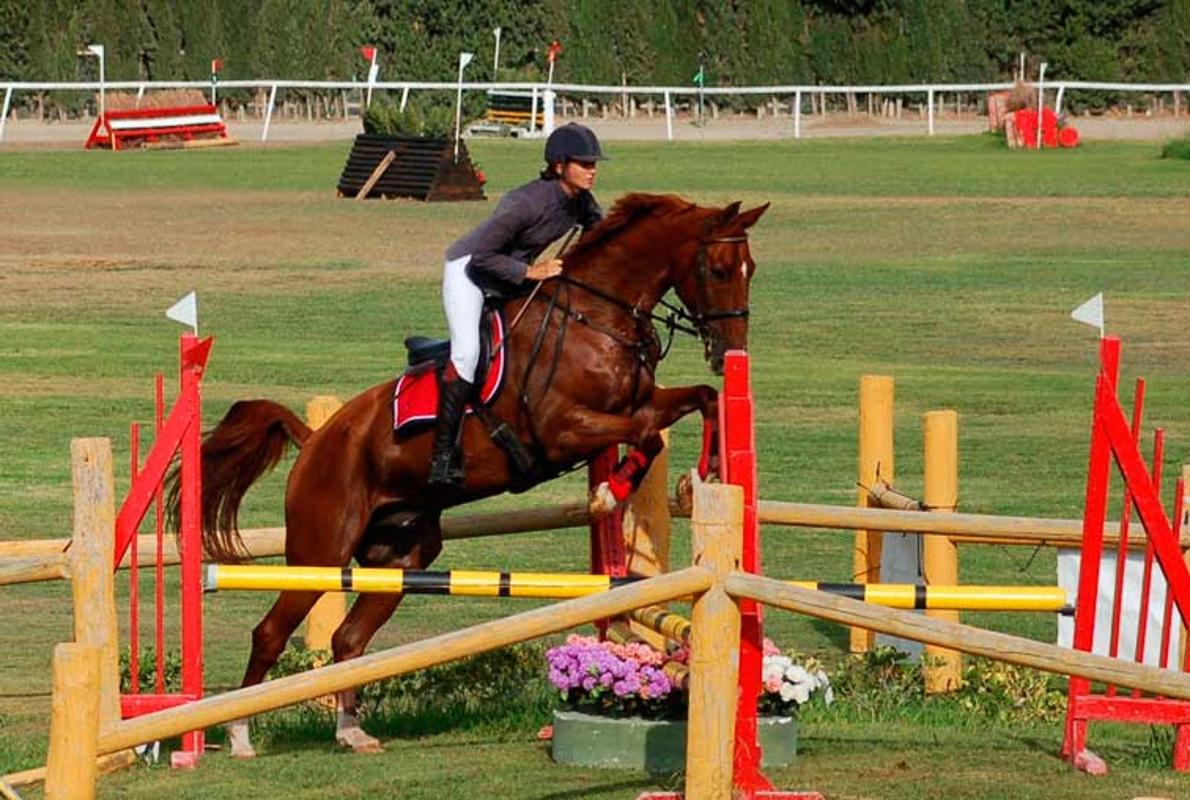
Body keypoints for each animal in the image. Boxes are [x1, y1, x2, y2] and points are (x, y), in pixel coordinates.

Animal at [190, 195, 766, 757]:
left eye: (750, 269)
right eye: (718, 268)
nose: (730, 350)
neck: (596, 317)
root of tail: (315, 440)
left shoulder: (639, 403)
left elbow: (697, 403)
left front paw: (705, 473)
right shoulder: (563, 429)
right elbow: (646, 434)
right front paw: (610, 491)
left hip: (398, 559)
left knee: (349, 639)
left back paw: (351, 731)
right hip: (321, 552)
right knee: (271, 632)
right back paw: (238, 734)